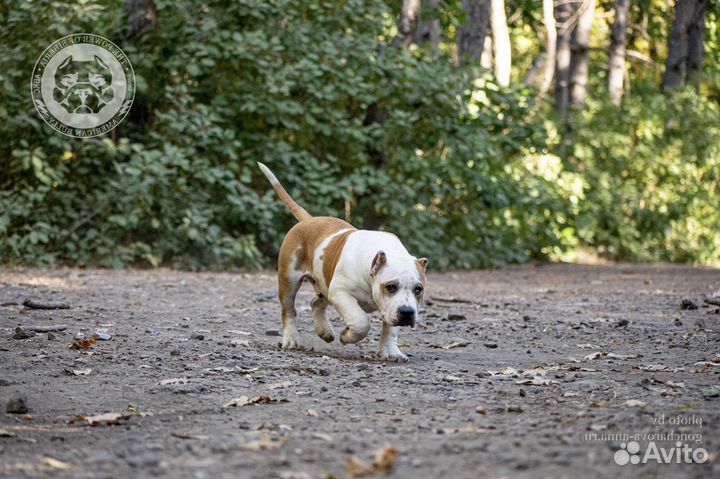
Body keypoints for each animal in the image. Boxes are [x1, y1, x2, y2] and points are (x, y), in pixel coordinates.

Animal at [258, 163, 428, 362]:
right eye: (391, 287)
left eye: (418, 289)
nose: (407, 312)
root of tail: (309, 220)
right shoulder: (341, 294)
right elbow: (360, 321)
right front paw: (347, 336)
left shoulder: (389, 308)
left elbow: (390, 329)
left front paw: (391, 351)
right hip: (289, 281)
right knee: (289, 310)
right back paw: (292, 339)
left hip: (324, 284)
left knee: (316, 303)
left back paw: (324, 331)